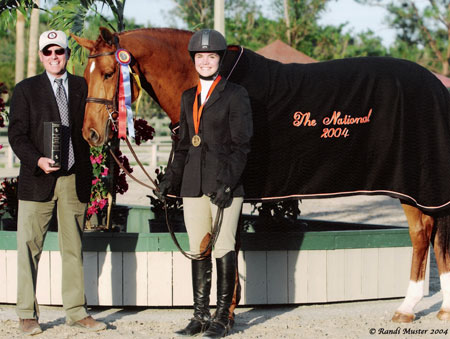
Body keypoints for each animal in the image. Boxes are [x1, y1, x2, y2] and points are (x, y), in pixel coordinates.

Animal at [71, 27, 450, 324]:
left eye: (109, 73)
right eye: (85, 75)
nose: (90, 133)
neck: (210, 82)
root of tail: (438, 87)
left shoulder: (233, 190)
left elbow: (229, 246)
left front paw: (227, 315)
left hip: (420, 186)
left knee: (428, 236)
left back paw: (422, 308)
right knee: (425, 234)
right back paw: (420, 308)